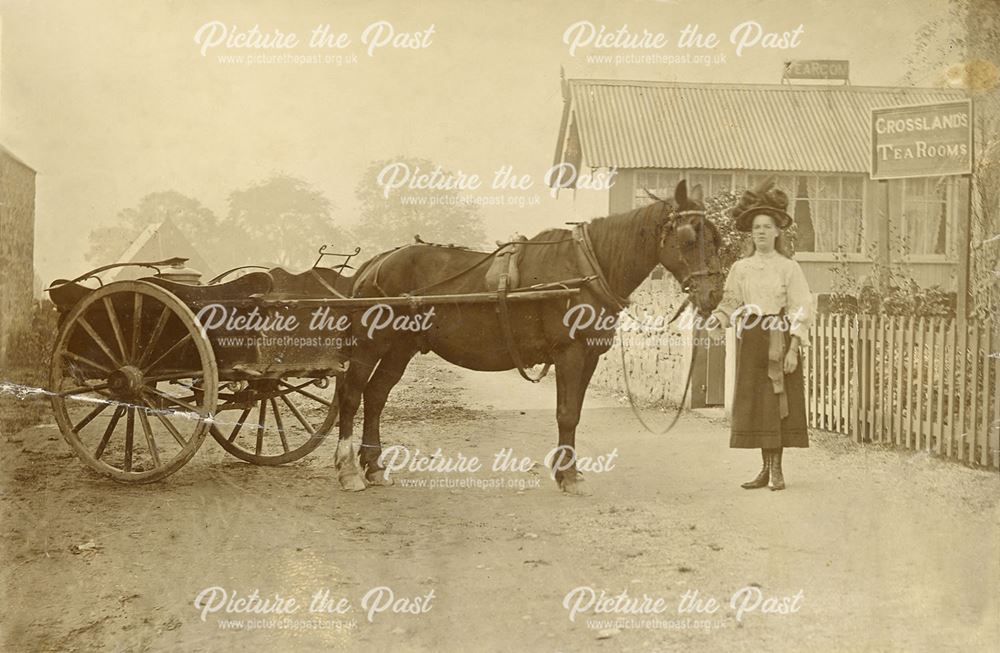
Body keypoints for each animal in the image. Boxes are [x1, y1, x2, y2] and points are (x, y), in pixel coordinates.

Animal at [332, 180, 724, 494]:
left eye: (717, 238)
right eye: (689, 238)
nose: (714, 295)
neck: (587, 267)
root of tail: (376, 262)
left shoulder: (589, 356)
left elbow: (574, 410)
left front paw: (566, 471)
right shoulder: (570, 352)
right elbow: (567, 413)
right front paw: (569, 477)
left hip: (401, 346)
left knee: (376, 395)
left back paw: (374, 466)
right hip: (371, 344)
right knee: (352, 396)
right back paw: (349, 469)